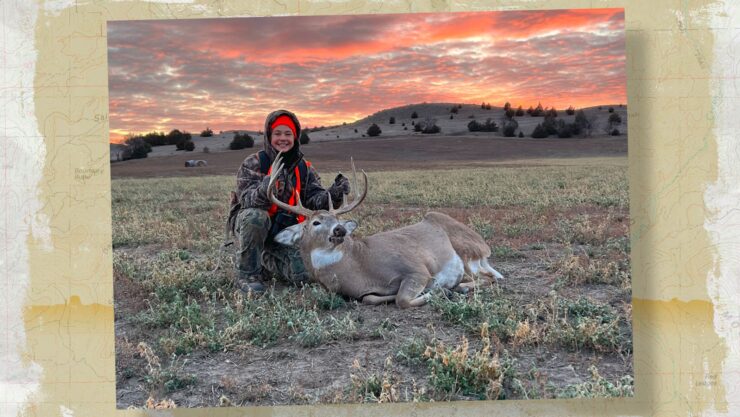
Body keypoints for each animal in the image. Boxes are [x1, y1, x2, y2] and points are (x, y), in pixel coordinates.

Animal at [267, 155, 504, 309]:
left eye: (337, 218)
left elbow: (402, 300)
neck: (360, 266)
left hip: (466, 253)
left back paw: (457, 288)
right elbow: (369, 298)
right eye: (316, 222)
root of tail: (483, 245)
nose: (340, 229)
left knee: (492, 278)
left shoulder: (416, 269)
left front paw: (439, 291)